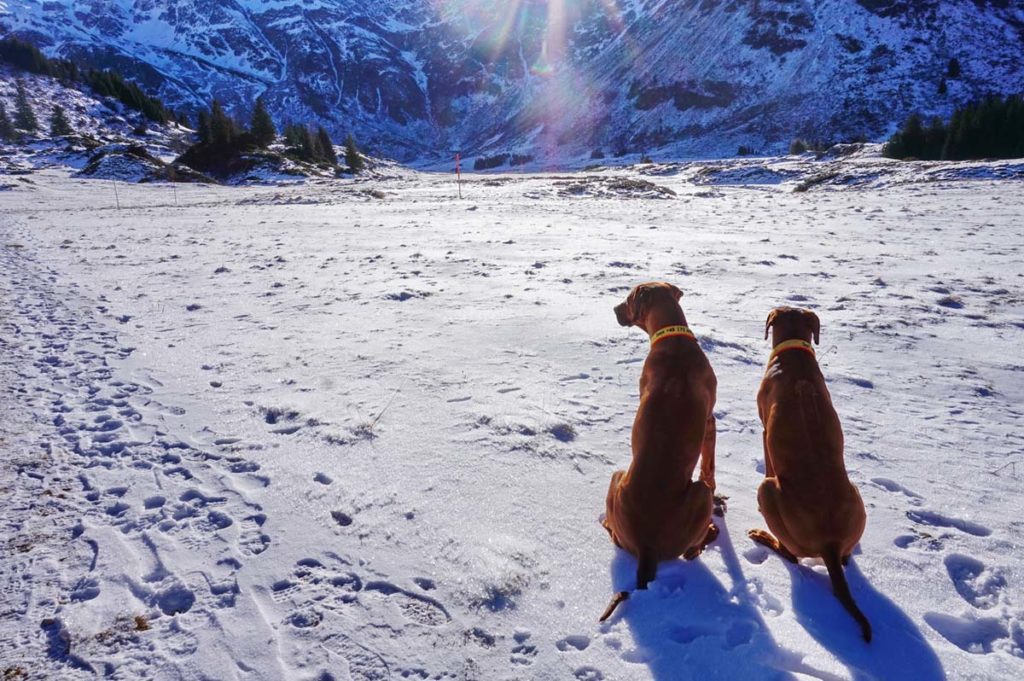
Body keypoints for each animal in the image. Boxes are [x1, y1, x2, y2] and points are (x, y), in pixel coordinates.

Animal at [598, 280, 720, 622]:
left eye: (627, 300)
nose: (613, 308)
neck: (673, 335)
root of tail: (647, 548)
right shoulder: (710, 422)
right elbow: (710, 467)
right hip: (694, 493)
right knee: (692, 549)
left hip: (616, 478)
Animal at [745, 305, 872, 639]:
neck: (794, 352)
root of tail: (829, 543)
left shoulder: (765, 430)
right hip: (855, 494)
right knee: (845, 557)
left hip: (767, 491)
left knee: (790, 554)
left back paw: (763, 536)